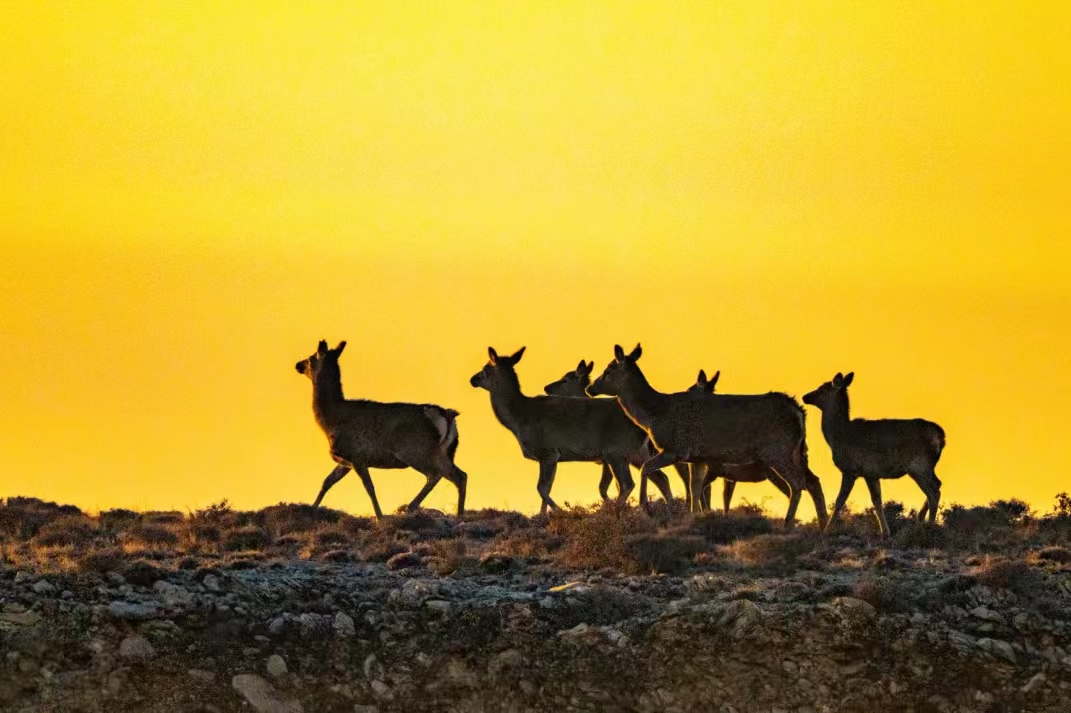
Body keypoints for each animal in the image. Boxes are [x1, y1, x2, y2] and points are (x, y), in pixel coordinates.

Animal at [295, 338, 466, 516]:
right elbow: (327, 481)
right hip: (443, 452)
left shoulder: (357, 455)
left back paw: (410, 507)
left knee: (435, 474)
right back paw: (459, 514)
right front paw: (312, 508)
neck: (330, 422)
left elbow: (369, 487)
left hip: (414, 450)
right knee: (460, 476)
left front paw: (380, 516)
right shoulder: (346, 460)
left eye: (311, 358)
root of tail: (447, 415)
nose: (297, 365)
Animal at [473, 344, 655, 511]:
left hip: (616, 451)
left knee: (627, 483)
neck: (518, 420)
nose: (472, 379)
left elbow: (541, 488)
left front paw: (558, 511)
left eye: (485, 368)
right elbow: (545, 490)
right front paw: (544, 515)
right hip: (631, 453)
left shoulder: (548, 452)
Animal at [544, 357, 676, 503]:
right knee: (660, 476)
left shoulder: (607, 457)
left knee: (651, 478)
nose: (546, 388)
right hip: (638, 454)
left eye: (565, 380)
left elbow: (604, 487)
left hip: (630, 453)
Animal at [586, 344, 826, 526]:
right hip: (797, 450)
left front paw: (645, 507)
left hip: (777, 450)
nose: (590, 388)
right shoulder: (698, 457)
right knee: (812, 480)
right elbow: (696, 487)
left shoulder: (676, 448)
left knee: (797, 483)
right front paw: (694, 516)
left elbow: (647, 468)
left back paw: (789, 523)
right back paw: (822, 525)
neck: (656, 414)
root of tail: (799, 412)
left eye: (608, 370)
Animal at [805, 372, 946, 533]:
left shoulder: (850, 469)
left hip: (919, 465)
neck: (837, 436)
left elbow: (840, 500)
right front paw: (885, 532)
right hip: (926, 466)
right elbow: (877, 501)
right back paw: (921, 518)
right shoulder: (871, 473)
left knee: (934, 491)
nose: (805, 397)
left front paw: (827, 530)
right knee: (938, 484)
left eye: (822, 388)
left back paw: (930, 525)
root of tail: (941, 437)